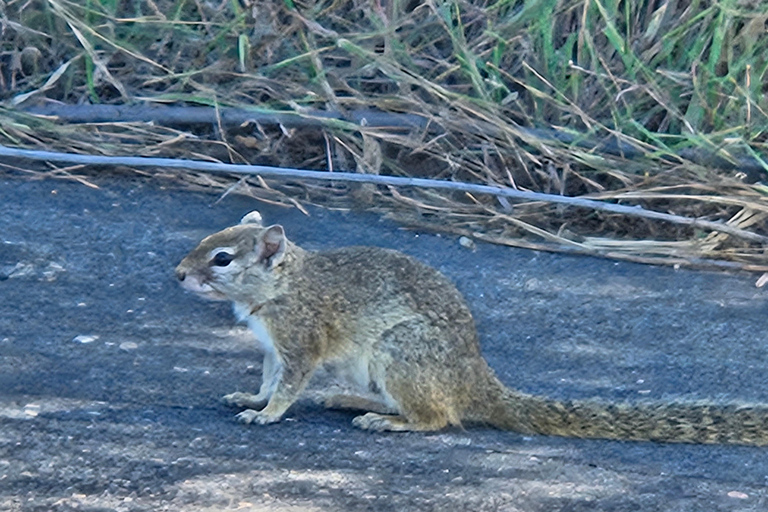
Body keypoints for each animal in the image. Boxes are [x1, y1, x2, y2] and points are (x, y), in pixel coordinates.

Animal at [177, 211, 768, 444]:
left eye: (223, 259)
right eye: (207, 241)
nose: (180, 274)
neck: (282, 286)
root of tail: (476, 384)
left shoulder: (301, 338)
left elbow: (289, 385)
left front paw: (268, 415)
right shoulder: (272, 347)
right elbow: (267, 379)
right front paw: (251, 399)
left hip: (403, 354)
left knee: (438, 418)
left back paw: (388, 422)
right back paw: (354, 401)